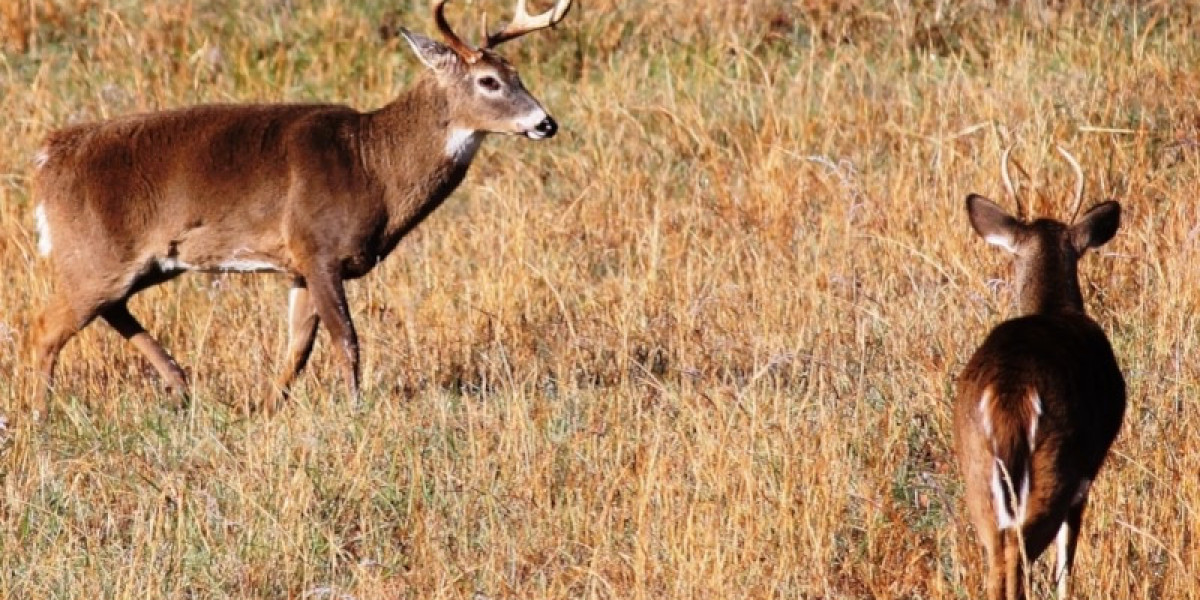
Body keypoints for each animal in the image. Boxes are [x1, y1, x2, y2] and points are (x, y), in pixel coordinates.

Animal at [28, 0, 571, 417]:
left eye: (518, 74)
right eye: (488, 81)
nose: (546, 123)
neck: (373, 166)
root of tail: (47, 159)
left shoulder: (297, 265)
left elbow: (297, 347)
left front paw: (269, 407)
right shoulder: (319, 246)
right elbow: (345, 339)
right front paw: (355, 411)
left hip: (141, 261)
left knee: (109, 310)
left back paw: (182, 385)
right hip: (94, 252)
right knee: (45, 328)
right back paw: (40, 415)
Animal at [955, 146, 1123, 600]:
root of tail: (1010, 393)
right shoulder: (1085, 476)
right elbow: (1067, 561)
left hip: (977, 472)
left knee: (996, 558)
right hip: (1055, 466)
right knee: (1019, 553)